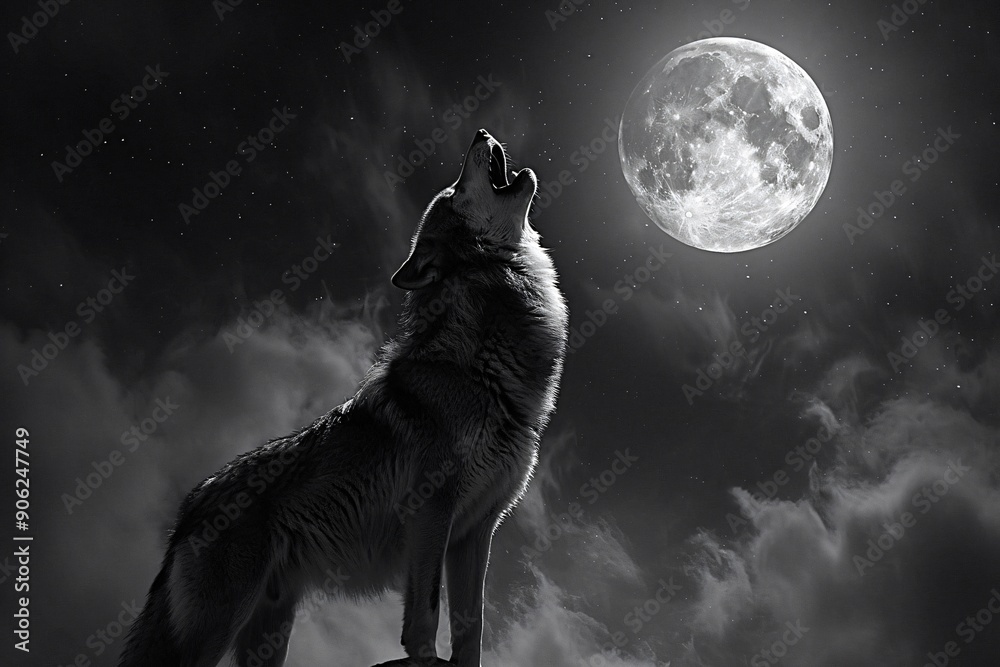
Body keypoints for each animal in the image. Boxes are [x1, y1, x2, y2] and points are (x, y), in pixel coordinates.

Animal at [118, 129, 568, 667]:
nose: (480, 134)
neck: (481, 369)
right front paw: (422, 659)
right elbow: (427, 612)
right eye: (456, 190)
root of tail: (189, 507)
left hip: (268, 630)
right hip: (216, 629)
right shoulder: (431, 510)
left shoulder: (476, 532)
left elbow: (472, 628)